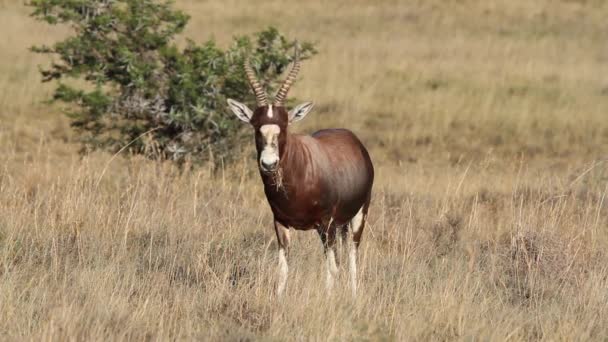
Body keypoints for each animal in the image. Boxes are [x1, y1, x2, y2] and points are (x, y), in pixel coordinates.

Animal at [226, 53, 372, 296]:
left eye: (284, 126)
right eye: (256, 127)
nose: (269, 164)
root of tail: (355, 142)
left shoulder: (326, 223)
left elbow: (332, 268)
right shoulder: (280, 223)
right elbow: (283, 268)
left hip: (357, 215)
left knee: (351, 257)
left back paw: (353, 295)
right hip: (338, 226)